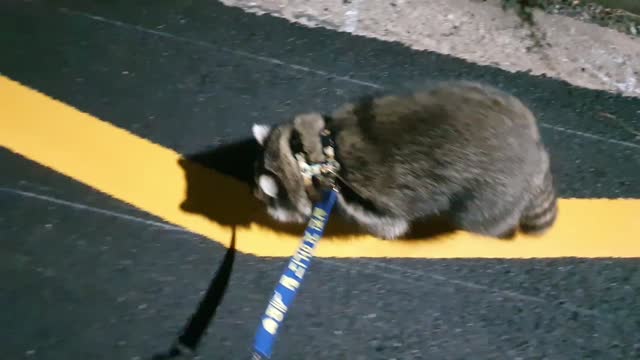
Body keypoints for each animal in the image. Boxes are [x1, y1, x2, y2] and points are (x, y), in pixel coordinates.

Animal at [250, 81, 556, 239]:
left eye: (265, 199)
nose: (256, 197)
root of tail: (536, 148)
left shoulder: (365, 204)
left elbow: (391, 226)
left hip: (494, 194)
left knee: (479, 220)